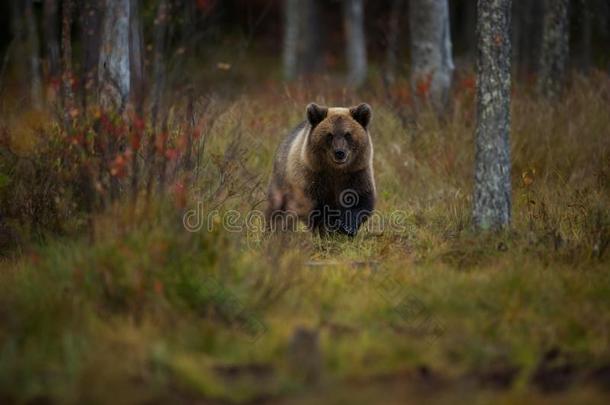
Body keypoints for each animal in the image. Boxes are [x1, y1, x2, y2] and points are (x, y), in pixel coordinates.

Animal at [268, 102, 376, 237]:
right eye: (329, 135)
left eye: (348, 134)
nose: (339, 153)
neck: (335, 171)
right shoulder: (312, 176)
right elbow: (315, 208)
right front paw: (327, 230)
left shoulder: (356, 173)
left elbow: (359, 201)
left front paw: (346, 228)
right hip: (282, 181)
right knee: (277, 210)